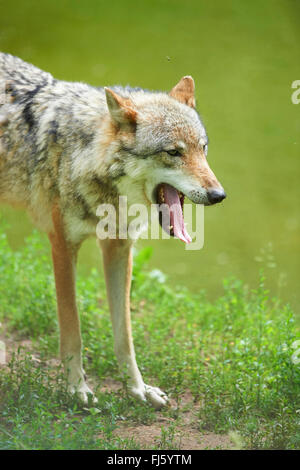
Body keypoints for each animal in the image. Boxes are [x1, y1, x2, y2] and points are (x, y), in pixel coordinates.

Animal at [0, 53, 225, 410]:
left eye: (202, 149)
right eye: (173, 152)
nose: (219, 195)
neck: (83, 154)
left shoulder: (119, 248)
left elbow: (125, 336)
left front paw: (139, 389)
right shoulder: (63, 246)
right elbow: (73, 330)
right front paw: (76, 389)